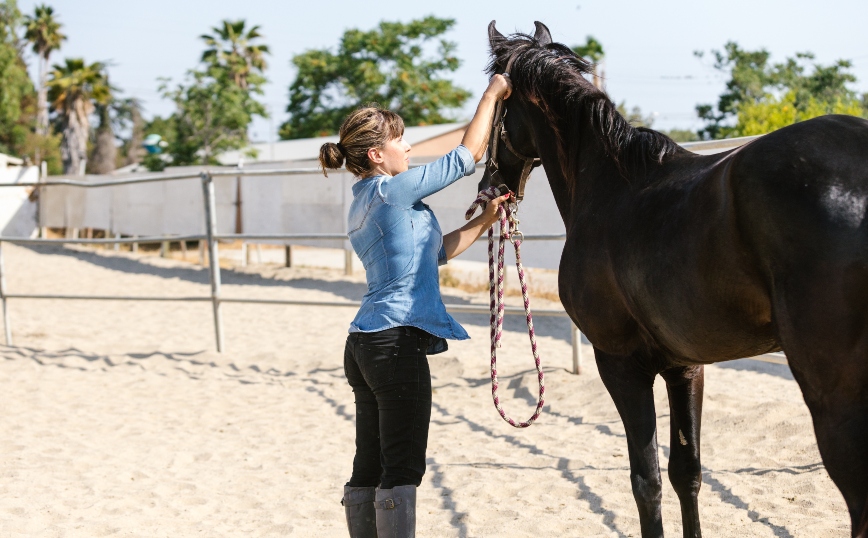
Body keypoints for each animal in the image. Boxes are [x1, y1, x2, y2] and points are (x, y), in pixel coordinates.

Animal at [484, 18, 868, 532]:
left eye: (493, 102)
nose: (489, 184)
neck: (609, 188)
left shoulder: (620, 363)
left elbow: (645, 481)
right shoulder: (685, 367)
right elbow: (687, 472)